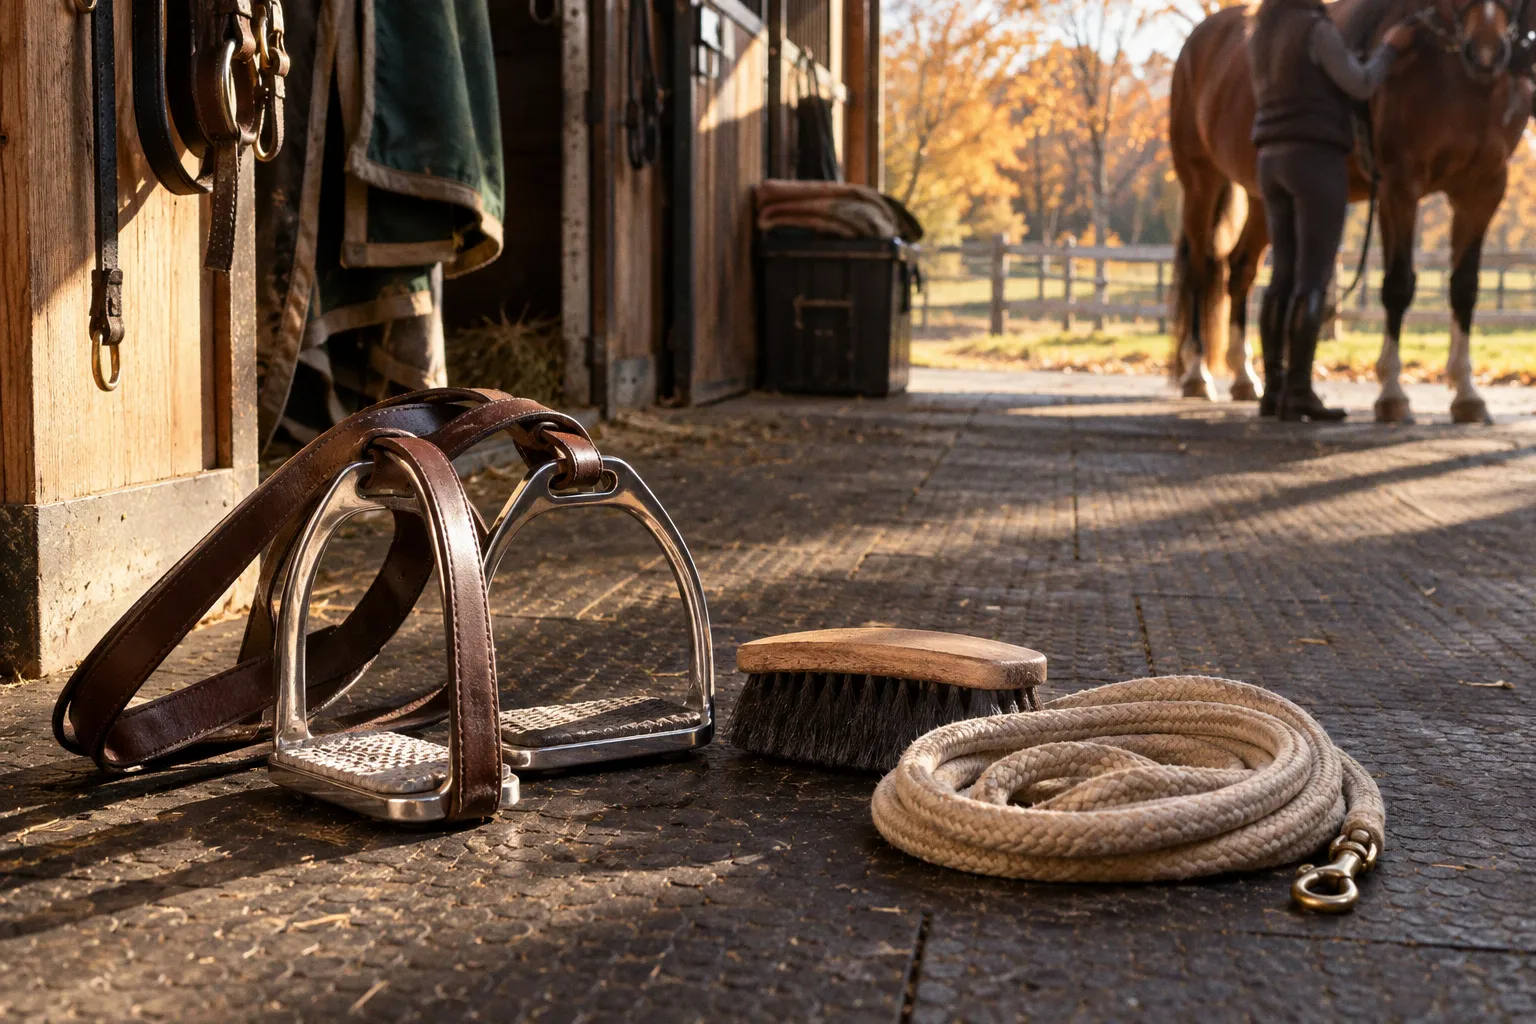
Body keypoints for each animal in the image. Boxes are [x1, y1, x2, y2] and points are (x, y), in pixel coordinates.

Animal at [1167, 0, 1533, 423]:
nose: (1486, 53)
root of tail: (1198, 39)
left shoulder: (1483, 191)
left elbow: (1465, 288)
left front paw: (1467, 395)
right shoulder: (1397, 188)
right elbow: (1398, 286)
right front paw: (1391, 394)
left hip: (1261, 196)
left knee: (1240, 270)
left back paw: (1247, 379)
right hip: (1200, 182)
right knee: (1199, 271)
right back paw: (1198, 374)